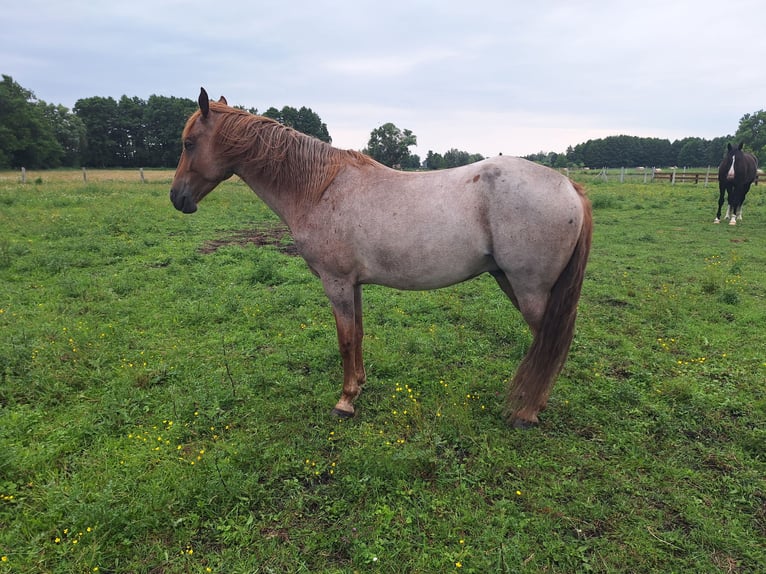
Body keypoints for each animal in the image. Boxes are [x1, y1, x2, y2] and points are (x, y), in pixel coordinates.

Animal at [170, 88, 593, 428]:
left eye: (189, 143)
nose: (178, 198)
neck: (320, 188)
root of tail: (568, 184)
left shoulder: (336, 283)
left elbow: (343, 339)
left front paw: (344, 402)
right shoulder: (353, 285)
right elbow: (357, 334)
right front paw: (358, 385)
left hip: (530, 289)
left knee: (551, 343)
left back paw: (527, 412)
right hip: (511, 281)